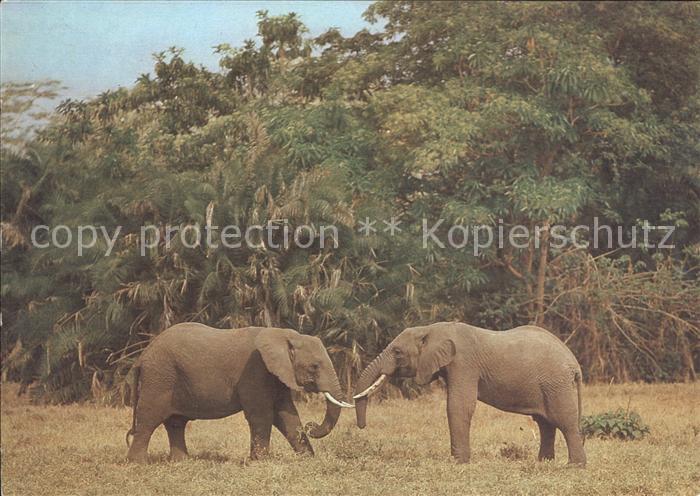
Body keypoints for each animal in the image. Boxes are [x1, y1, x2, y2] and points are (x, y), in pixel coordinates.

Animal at [125, 323, 353, 463]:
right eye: (314, 367)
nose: (312, 426)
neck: (284, 335)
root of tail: (142, 356)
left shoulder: (275, 374)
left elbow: (287, 415)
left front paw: (307, 459)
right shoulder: (255, 370)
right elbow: (262, 415)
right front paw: (260, 462)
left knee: (175, 423)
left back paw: (181, 462)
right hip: (159, 378)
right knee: (149, 419)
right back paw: (138, 464)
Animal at [353, 322, 586, 466]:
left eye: (397, 352)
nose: (362, 426)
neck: (432, 328)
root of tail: (574, 363)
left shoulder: (463, 364)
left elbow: (458, 406)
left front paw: (458, 462)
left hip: (556, 384)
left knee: (564, 421)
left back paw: (575, 466)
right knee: (545, 423)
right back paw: (543, 463)